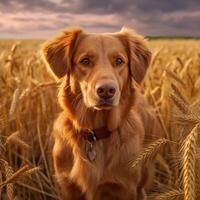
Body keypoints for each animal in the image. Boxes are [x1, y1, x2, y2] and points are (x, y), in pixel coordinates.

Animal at [42, 27, 159, 200]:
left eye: (119, 61)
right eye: (85, 61)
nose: (106, 90)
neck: (95, 135)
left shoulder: (125, 188)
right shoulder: (68, 187)